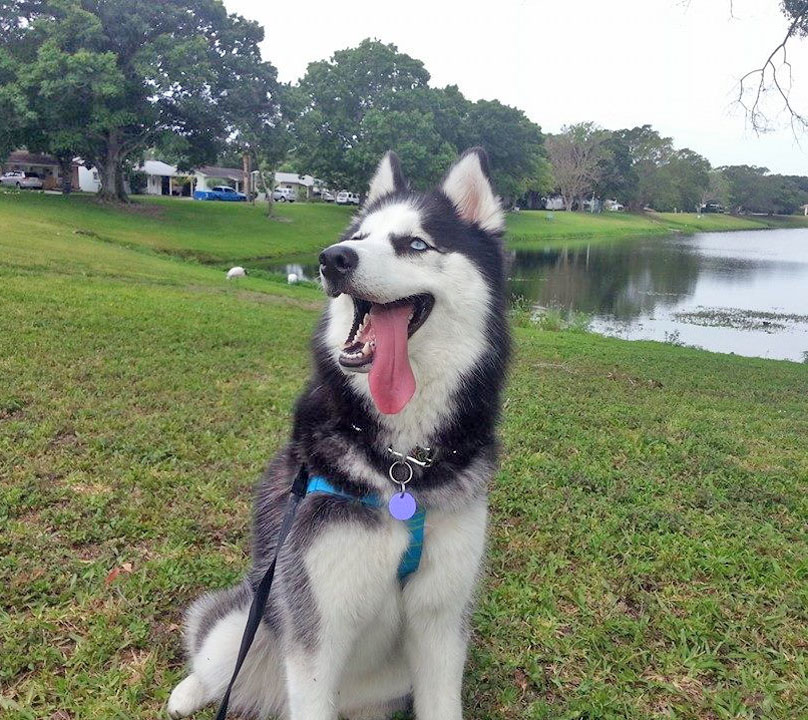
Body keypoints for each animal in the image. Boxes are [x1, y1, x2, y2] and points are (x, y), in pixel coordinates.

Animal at [169, 148, 512, 720]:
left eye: (415, 243)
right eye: (359, 236)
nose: (333, 259)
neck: (400, 467)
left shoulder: (442, 624)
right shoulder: (316, 626)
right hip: (247, 617)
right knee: (215, 660)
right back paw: (188, 692)